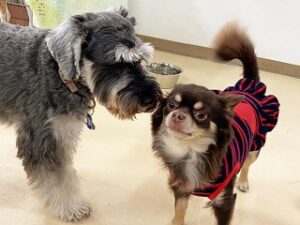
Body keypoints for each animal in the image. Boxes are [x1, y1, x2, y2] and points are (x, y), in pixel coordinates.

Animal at [0, 8, 162, 221]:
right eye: (116, 64)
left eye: (140, 60)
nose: (150, 99)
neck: (61, 74)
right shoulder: (42, 140)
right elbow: (57, 178)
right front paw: (72, 208)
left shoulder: (61, 135)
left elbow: (65, 173)